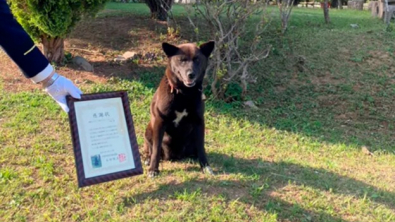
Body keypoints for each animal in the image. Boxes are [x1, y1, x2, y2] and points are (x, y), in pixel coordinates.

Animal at [143, 40, 215, 178]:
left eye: (197, 60)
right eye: (182, 60)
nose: (191, 74)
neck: (184, 94)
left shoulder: (199, 122)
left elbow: (202, 147)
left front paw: (205, 166)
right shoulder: (160, 122)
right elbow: (156, 149)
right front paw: (153, 169)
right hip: (149, 129)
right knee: (150, 148)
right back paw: (147, 159)